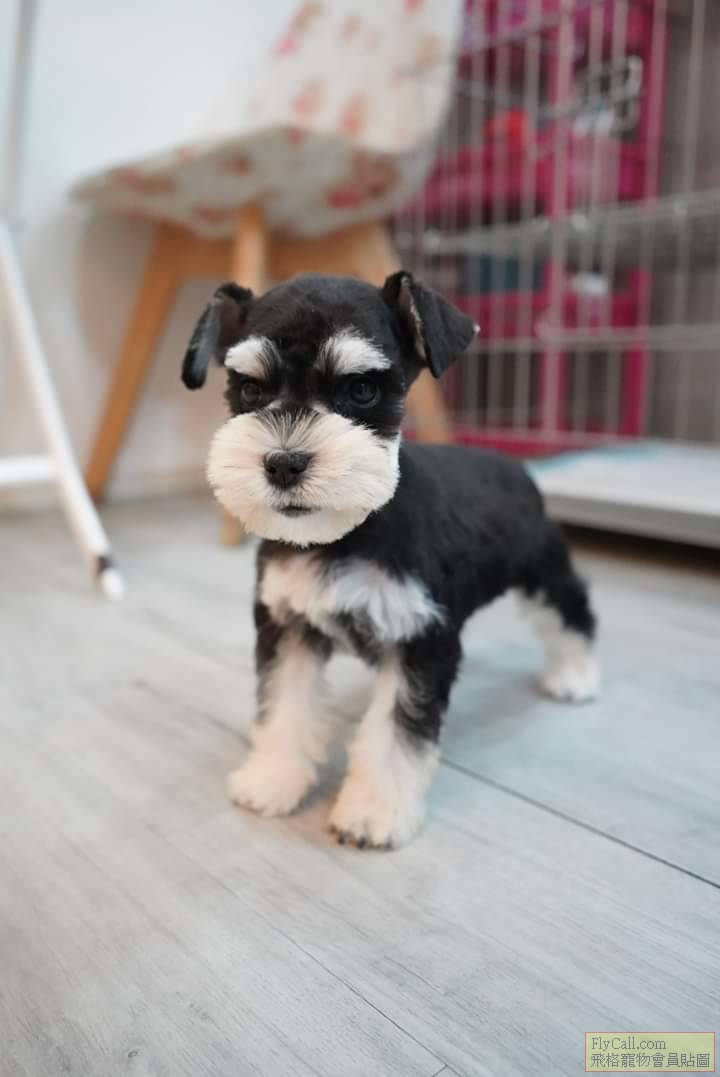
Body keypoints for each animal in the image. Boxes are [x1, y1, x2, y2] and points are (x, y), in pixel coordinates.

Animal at [182, 271, 599, 849]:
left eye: (361, 389)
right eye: (250, 389)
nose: (283, 463)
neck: (346, 534)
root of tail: (514, 467)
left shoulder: (420, 643)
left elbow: (396, 734)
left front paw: (371, 813)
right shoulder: (287, 628)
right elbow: (284, 707)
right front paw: (270, 780)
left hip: (541, 568)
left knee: (570, 608)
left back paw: (575, 675)